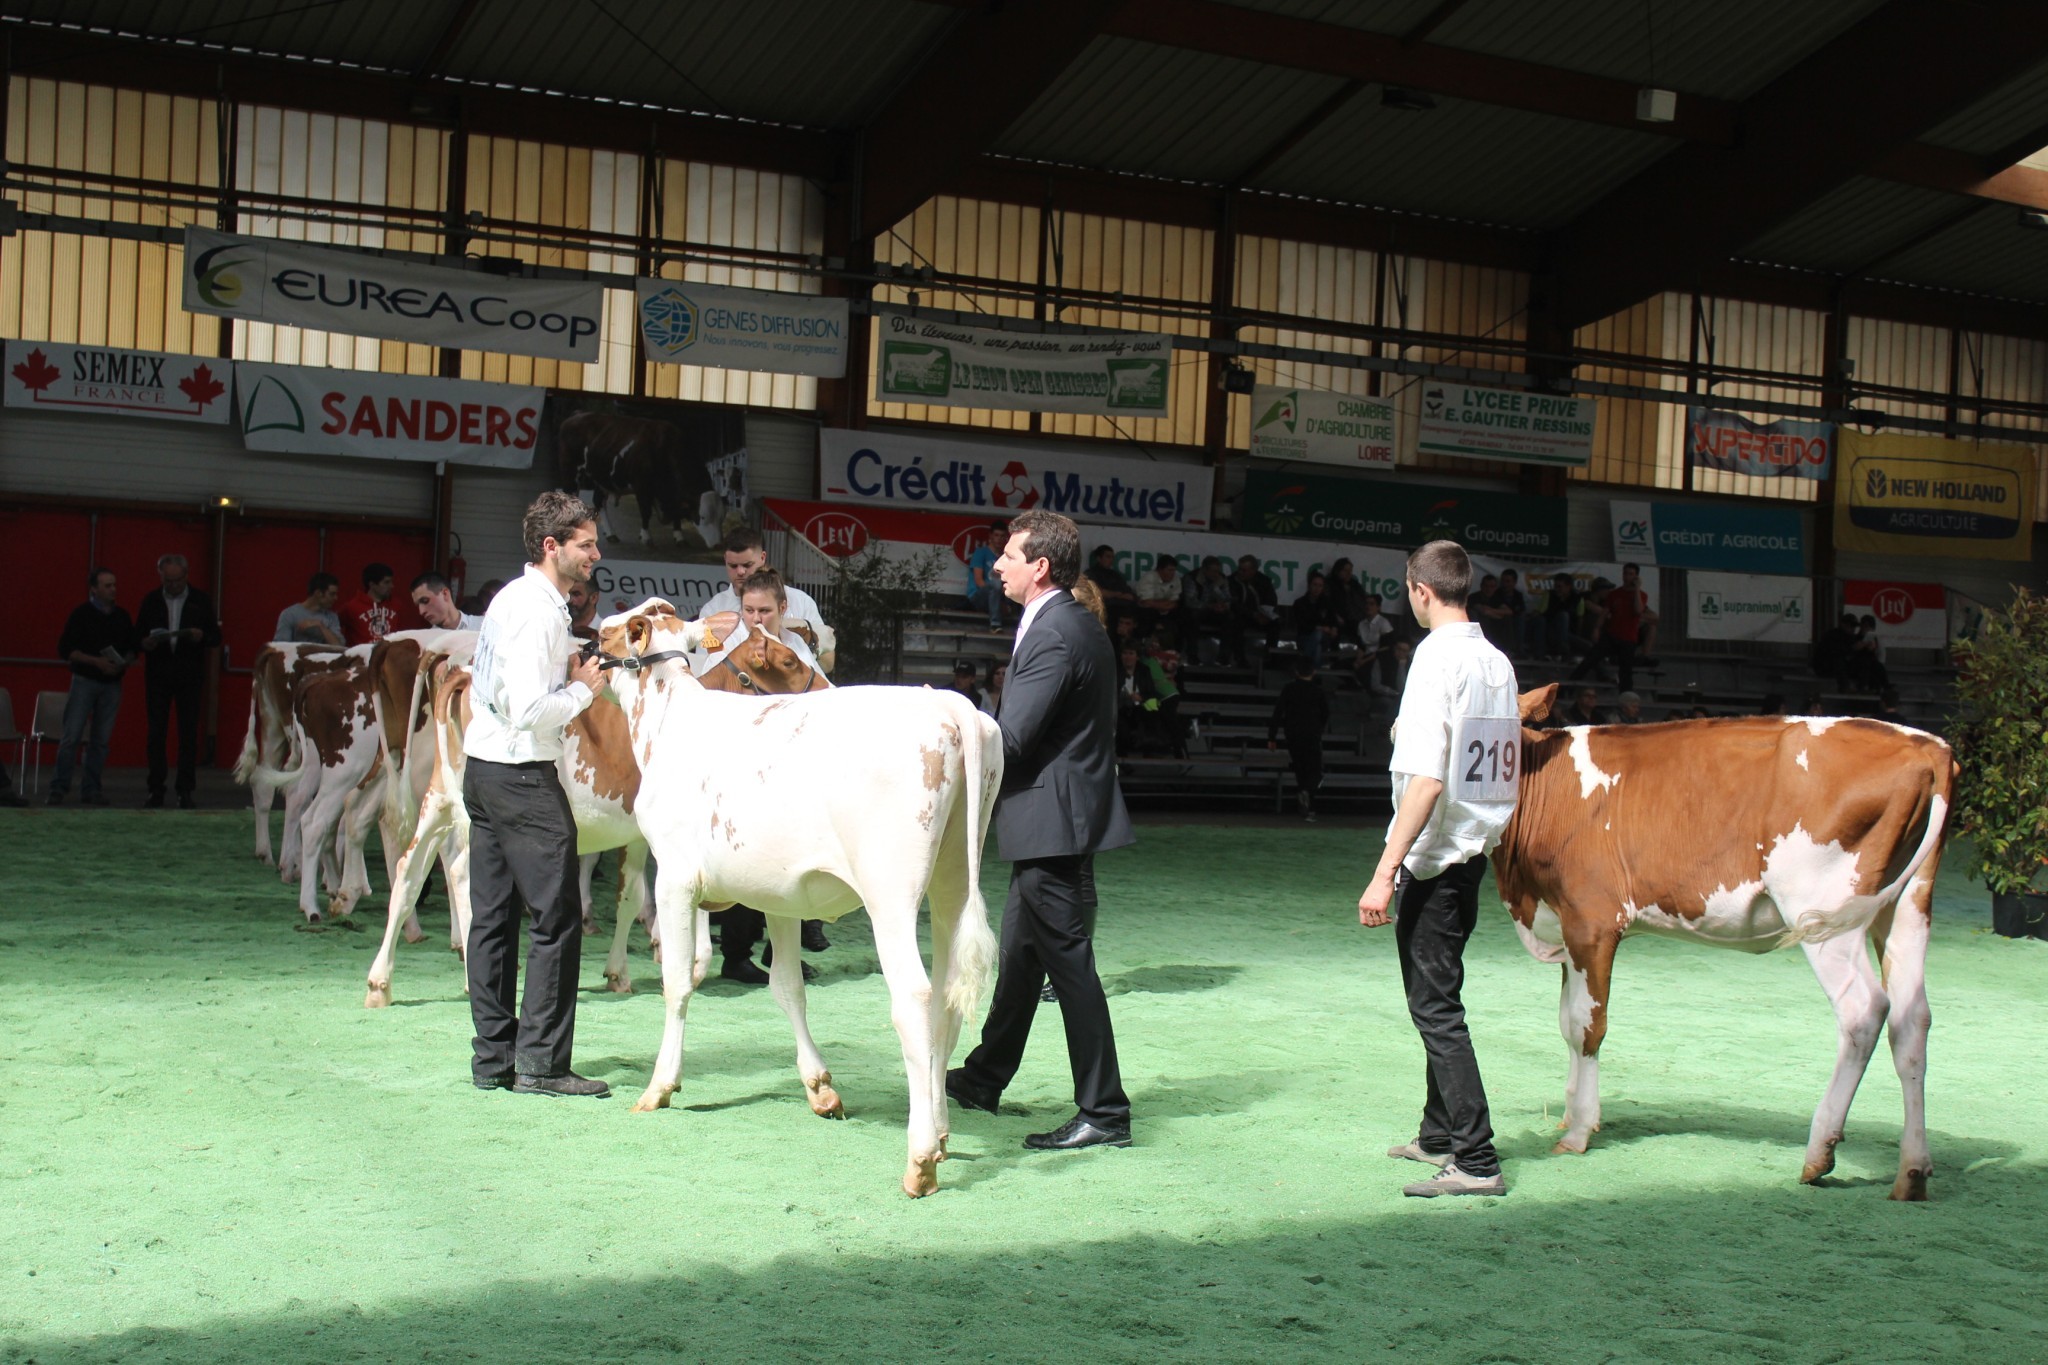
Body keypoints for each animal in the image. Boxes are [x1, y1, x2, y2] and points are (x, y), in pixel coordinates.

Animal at [598, 601, 1003, 1203]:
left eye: (606, 633)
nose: (583, 651)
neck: (671, 723)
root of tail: (947, 701)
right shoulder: (779, 897)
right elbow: (786, 987)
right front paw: (819, 1088)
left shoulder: (674, 878)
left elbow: (677, 984)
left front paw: (660, 1086)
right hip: (953, 879)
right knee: (948, 999)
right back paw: (943, 1134)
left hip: (890, 892)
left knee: (914, 998)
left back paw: (920, 1159)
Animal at [1507, 687, 1949, 1203]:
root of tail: (1925, 744)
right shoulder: (1566, 927)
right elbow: (1566, 1022)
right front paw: (1576, 1113)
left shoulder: (1591, 922)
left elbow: (1586, 1026)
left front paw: (1577, 1132)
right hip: (1904, 907)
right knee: (1911, 1019)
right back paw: (1912, 1171)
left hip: (1826, 913)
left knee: (1864, 1010)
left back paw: (1819, 1153)